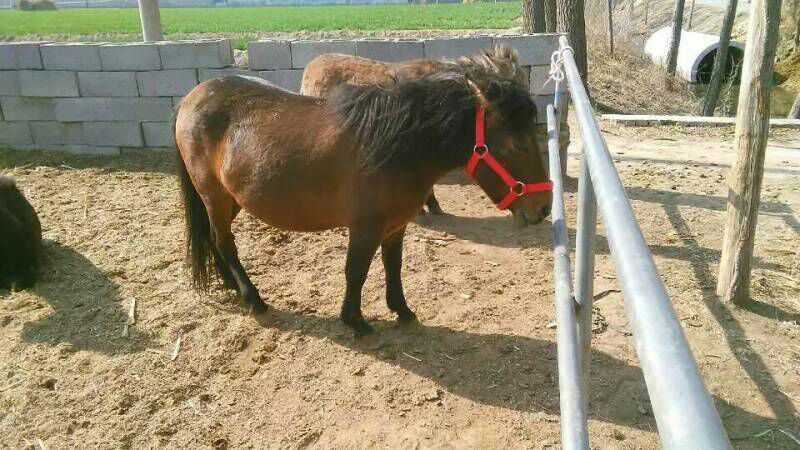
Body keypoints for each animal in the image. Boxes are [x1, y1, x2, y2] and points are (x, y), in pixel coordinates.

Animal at [174, 68, 551, 338]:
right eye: (518, 144)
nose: (544, 208)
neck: (396, 145)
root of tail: (192, 97)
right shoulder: (365, 228)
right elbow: (356, 271)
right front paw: (354, 320)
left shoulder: (395, 226)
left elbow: (392, 266)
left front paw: (402, 311)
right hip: (214, 195)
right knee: (224, 242)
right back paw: (253, 299)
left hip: (231, 198)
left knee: (215, 241)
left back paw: (232, 287)